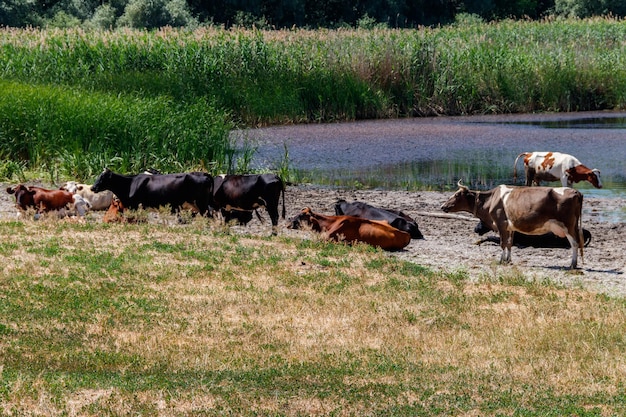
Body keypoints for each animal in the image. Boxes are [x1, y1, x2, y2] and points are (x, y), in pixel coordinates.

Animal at [438, 180, 580, 268]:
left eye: (457, 195)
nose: (442, 206)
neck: (491, 199)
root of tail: (575, 192)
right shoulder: (510, 227)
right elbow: (509, 243)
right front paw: (508, 260)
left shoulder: (500, 223)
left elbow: (502, 243)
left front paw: (501, 260)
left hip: (568, 226)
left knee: (575, 244)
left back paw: (572, 265)